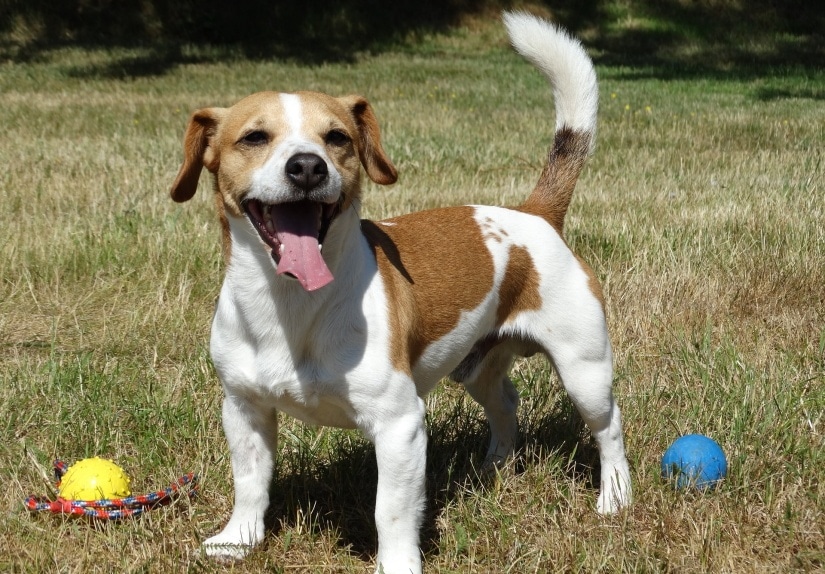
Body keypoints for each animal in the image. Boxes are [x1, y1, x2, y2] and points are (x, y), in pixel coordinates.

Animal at [169, 10, 632, 574]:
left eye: (337, 138)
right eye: (254, 137)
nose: (308, 166)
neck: (291, 305)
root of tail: (535, 213)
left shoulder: (400, 425)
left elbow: (390, 511)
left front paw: (398, 564)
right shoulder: (243, 408)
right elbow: (251, 481)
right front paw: (238, 539)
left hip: (585, 370)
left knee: (609, 430)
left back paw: (615, 498)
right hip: (476, 367)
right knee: (505, 403)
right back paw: (493, 468)